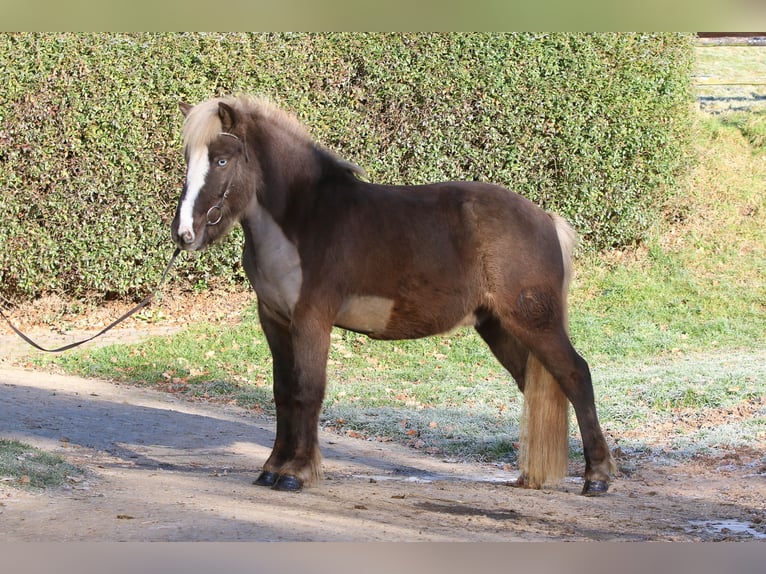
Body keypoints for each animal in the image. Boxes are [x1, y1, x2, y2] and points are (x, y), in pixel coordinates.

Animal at [170, 94, 615, 496]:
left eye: (222, 160)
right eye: (189, 159)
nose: (184, 234)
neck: (302, 220)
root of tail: (545, 219)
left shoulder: (312, 320)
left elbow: (306, 391)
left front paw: (296, 472)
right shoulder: (275, 320)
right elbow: (282, 393)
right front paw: (272, 467)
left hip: (535, 322)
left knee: (576, 375)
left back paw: (597, 476)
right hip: (500, 327)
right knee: (536, 384)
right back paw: (533, 476)